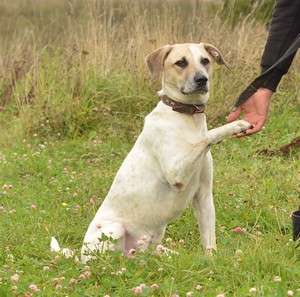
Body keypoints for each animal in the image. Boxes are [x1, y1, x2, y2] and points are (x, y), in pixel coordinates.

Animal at [81, 42, 252, 262]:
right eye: (181, 62)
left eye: (205, 60)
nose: (202, 79)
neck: (186, 117)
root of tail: (78, 255)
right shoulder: (177, 173)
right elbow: (207, 136)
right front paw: (236, 125)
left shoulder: (204, 195)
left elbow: (209, 239)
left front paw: (211, 260)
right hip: (114, 230)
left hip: (156, 232)